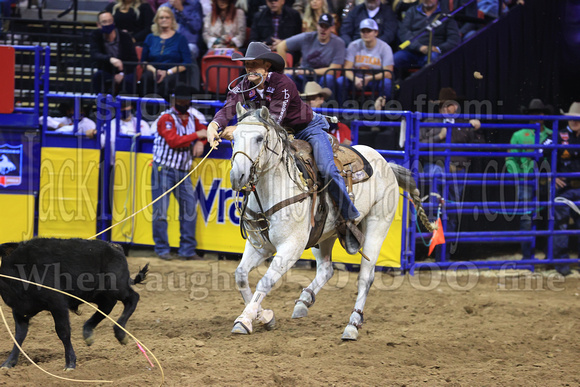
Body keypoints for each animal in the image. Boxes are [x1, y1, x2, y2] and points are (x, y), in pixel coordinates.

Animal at [0, 239, 148, 370]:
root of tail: (115, 247)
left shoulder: (58, 304)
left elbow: (63, 331)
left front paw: (70, 363)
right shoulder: (19, 310)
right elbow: (19, 335)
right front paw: (8, 363)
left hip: (116, 286)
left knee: (132, 298)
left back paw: (120, 333)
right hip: (95, 293)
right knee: (106, 306)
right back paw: (88, 332)